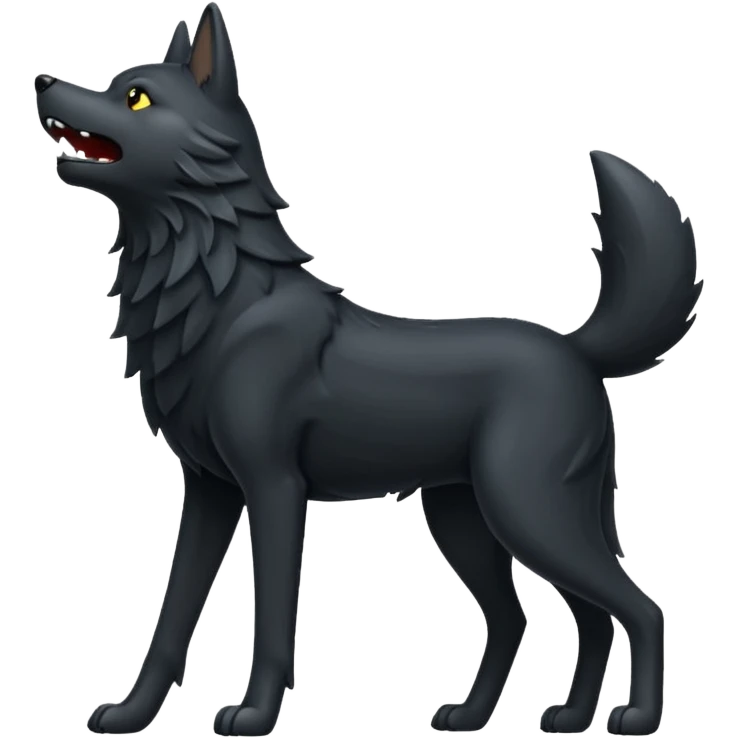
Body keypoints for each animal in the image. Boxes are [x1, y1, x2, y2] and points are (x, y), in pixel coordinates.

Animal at [34, 3, 699, 736]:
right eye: (115, 84)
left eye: (137, 98)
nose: (41, 82)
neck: (221, 300)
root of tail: (577, 349)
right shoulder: (208, 492)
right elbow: (172, 617)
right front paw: (132, 714)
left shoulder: (274, 487)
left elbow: (272, 620)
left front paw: (254, 714)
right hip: (471, 520)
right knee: (539, 617)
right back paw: (531, 716)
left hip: (528, 509)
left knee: (637, 608)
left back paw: (634, 717)